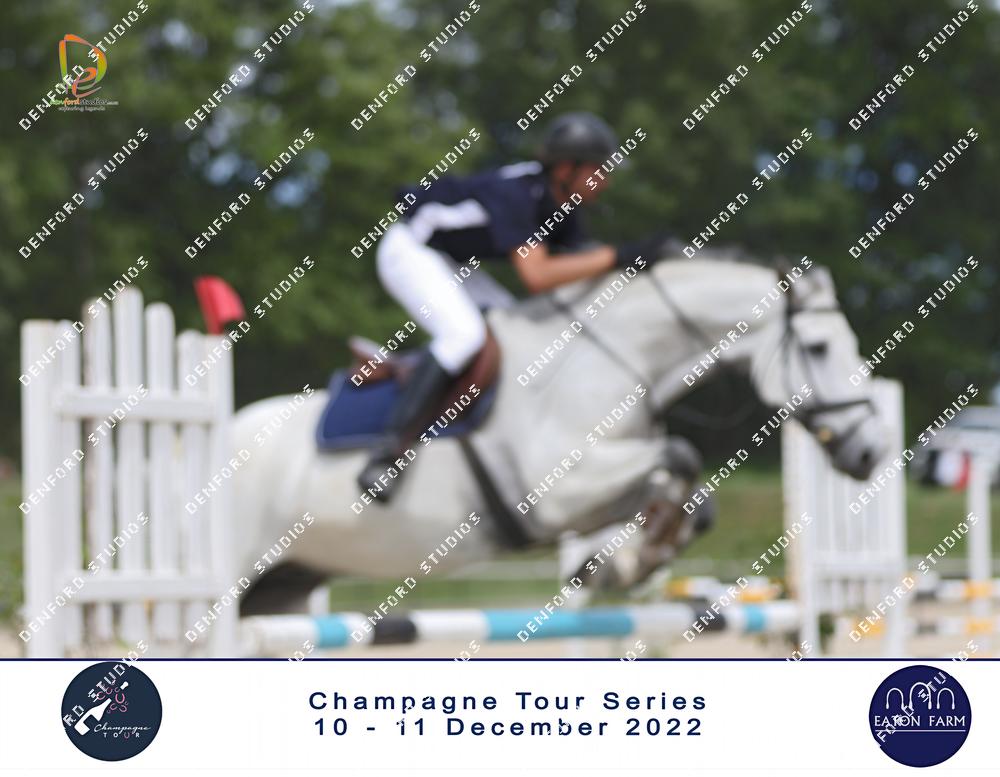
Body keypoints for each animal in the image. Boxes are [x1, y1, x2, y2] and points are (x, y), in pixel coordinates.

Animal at [229, 252, 888, 614]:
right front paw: (631, 560)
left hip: (283, 586)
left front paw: (624, 563)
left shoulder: (597, 488)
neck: (616, 359)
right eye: (818, 347)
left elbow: (687, 496)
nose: (870, 452)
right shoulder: (553, 493)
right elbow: (679, 455)